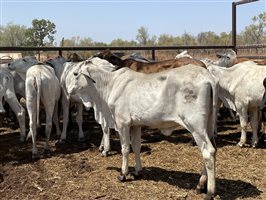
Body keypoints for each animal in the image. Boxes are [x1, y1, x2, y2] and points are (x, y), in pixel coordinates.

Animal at [65, 57, 217, 199]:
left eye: (75, 73)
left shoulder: (122, 123)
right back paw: (201, 185)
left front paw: (123, 174)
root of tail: (207, 76)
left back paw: (209, 192)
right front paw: (137, 171)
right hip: (208, 124)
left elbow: (125, 148)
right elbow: (136, 146)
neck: (110, 83)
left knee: (208, 152)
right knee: (212, 150)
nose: (68, 90)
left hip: (196, 125)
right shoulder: (135, 125)